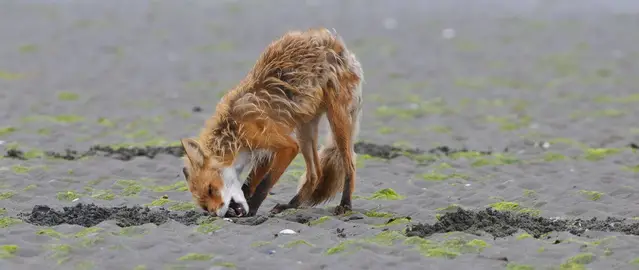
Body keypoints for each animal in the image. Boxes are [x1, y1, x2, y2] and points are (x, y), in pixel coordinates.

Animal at [180, 27, 364, 217]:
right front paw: (243, 209)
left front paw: (251, 210)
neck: (234, 129)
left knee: (350, 165)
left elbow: (264, 184)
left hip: (336, 120)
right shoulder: (265, 152)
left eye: (211, 189)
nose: (218, 214)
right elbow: (248, 185)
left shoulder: (286, 146)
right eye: (205, 207)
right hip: (305, 129)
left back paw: (345, 204)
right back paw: (291, 206)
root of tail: (334, 41)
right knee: (315, 175)